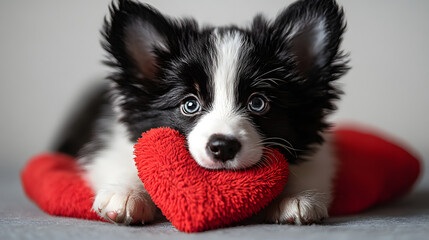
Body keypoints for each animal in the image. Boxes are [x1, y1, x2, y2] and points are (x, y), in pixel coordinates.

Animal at [61, 0, 348, 225]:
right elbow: (123, 158)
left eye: (258, 103)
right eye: (190, 105)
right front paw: (126, 194)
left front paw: (298, 197)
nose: (223, 146)